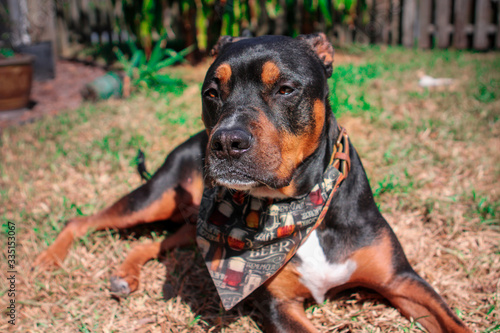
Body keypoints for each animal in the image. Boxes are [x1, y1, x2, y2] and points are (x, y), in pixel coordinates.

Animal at [33, 34, 470, 332]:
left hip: (191, 226)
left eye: (285, 89)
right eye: (211, 92)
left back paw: (126, 274)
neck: (296, 205)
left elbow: (454, 321)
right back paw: (47, 259)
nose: (225, 141)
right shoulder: (280, 307)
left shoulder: (402, 280)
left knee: (153, 242)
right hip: (154, 197)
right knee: (84, 221)